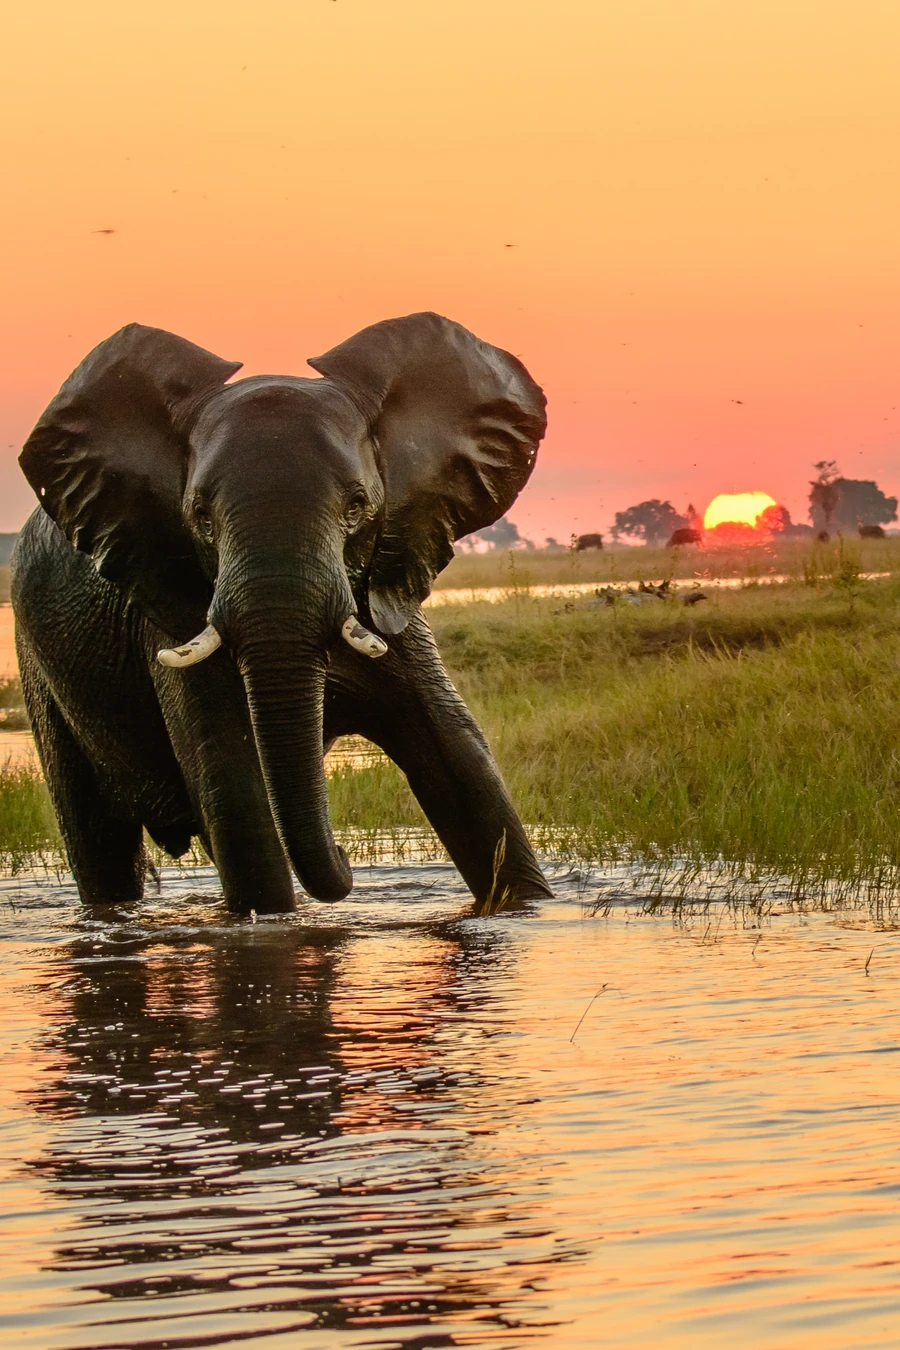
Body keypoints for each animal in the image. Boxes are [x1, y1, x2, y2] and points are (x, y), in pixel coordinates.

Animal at [12, 313, 552, 913]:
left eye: (358, 505)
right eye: (200, 516)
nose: (346, 857)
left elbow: (460, 760)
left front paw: (526, 909)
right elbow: (236, 791)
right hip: (39, 669)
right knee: (98, 842)